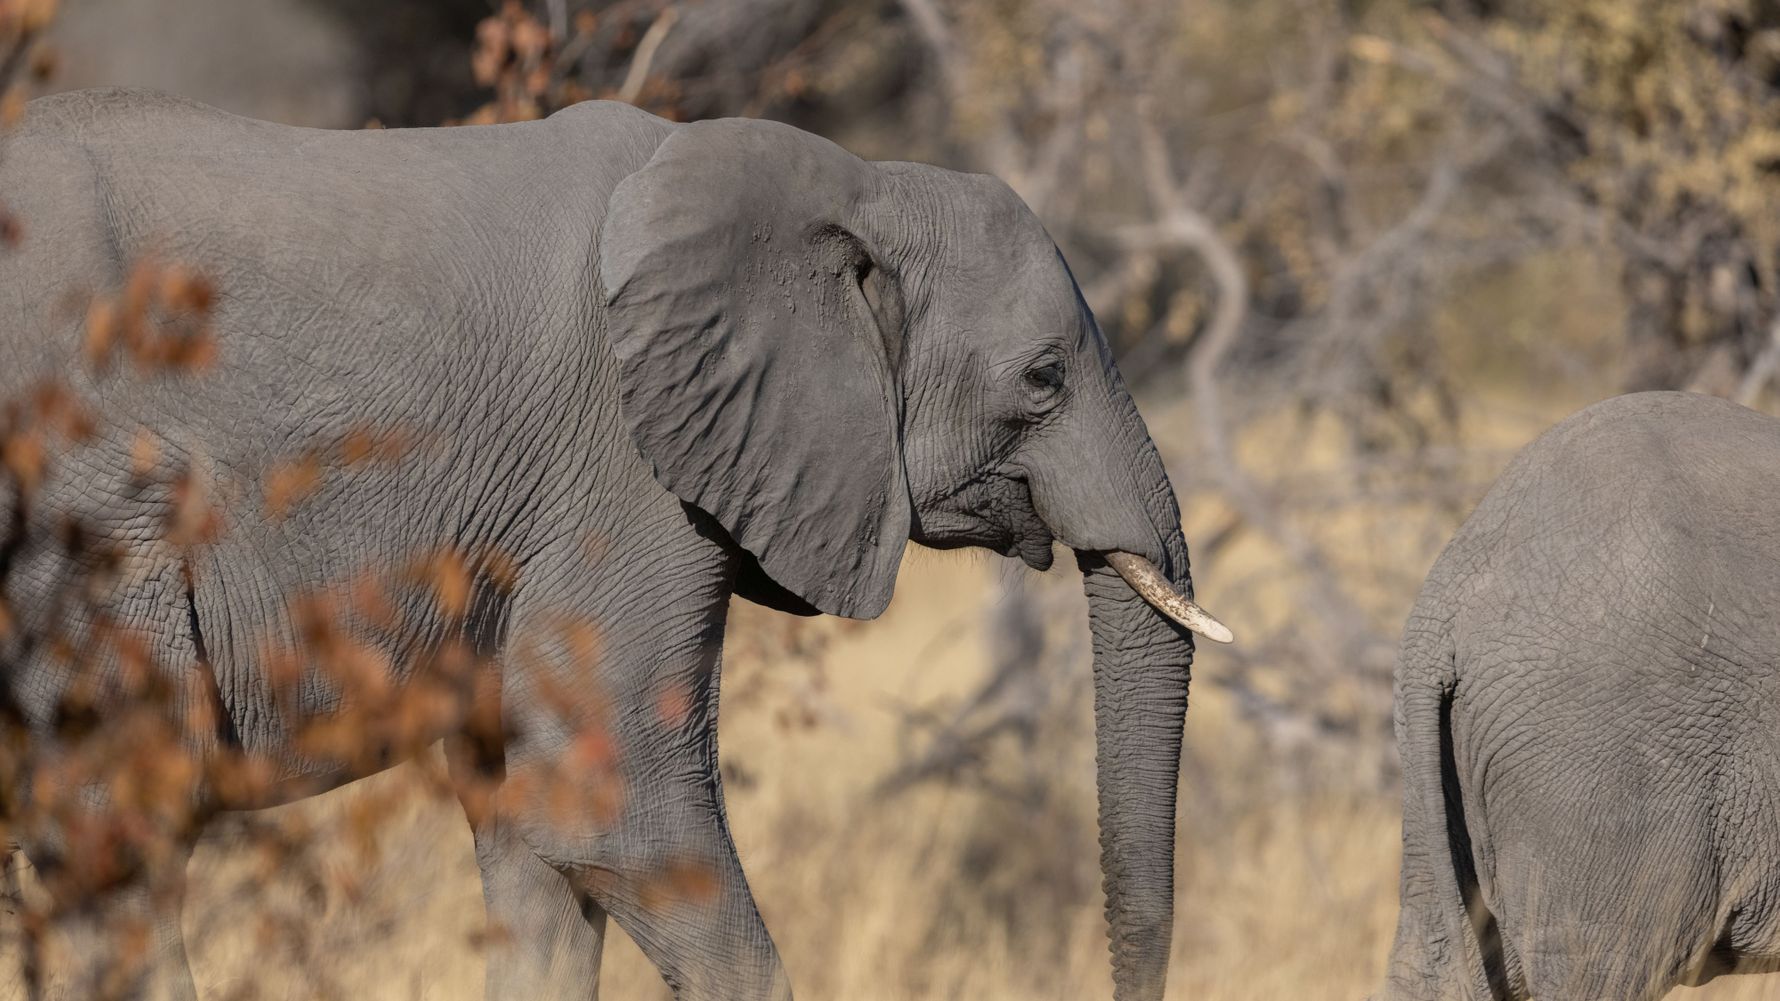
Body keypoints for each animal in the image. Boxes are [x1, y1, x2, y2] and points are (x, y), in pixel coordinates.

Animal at [0, 88, 1229, 1000]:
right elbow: (611, 811)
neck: (851, 181)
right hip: (91, 534)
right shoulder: (625, 472)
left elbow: (529, 846)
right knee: (121, 843)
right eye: (1044, 377)